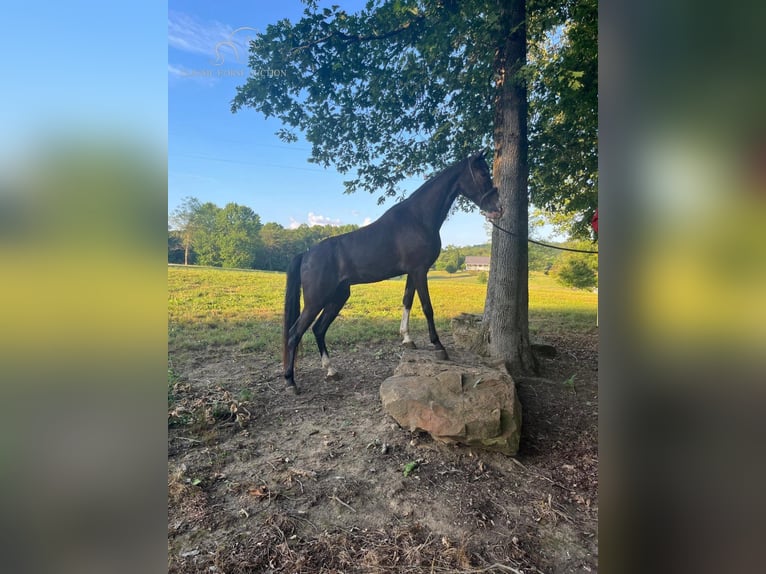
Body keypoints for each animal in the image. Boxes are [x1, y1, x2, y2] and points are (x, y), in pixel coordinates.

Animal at [282, 153, 504, 394]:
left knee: (318, 329)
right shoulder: (419, 271)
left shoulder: (412, 272)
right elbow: (427, 307)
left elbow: (407, 301)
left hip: (337, 297)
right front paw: (439, 347)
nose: (497, 208)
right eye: (482, 173)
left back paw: (331, 371)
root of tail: (306, 254)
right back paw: (291, 382)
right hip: (316, 300)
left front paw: (407, 339)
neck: (417, 218)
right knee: (294, 334)